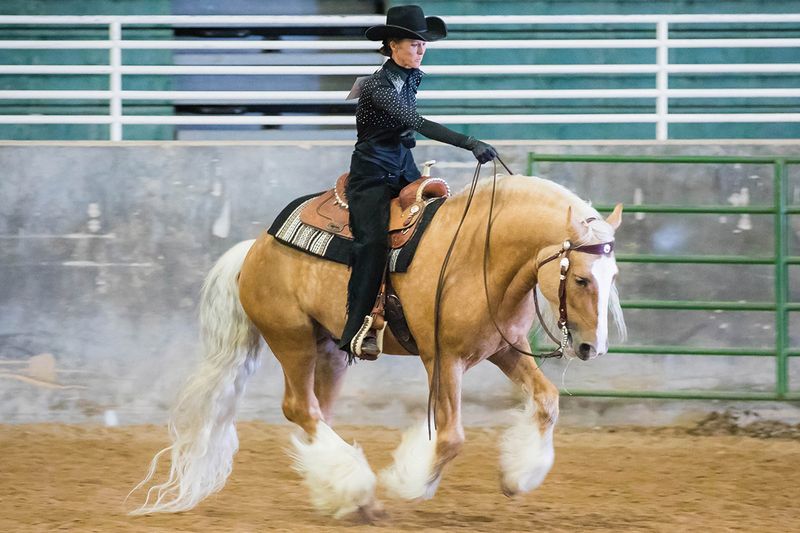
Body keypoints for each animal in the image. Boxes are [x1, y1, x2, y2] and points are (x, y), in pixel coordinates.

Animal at [130, 172, 624, 516]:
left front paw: (517, 476)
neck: (479, 254)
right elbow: (450, 438)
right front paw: (409, 481)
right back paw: (357, 490)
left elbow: (548, 400)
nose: (591, 349)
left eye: (613, 275)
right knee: (300, 408)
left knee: (318, 412)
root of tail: (255, 249)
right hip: (292, 339)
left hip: (330, 350)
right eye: (581, 279)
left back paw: (340, 493)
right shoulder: (442, 359)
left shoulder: (504, 349)